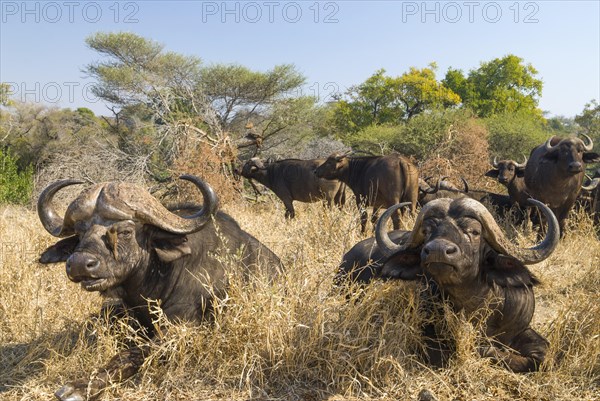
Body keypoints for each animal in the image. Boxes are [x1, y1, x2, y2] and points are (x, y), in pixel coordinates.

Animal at [37, 175, 282, 400]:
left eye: (125, 231)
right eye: (79, 234)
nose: (79, 264)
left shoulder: (180, 328)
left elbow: (131, 353)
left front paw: (80, 387)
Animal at [340, 197, 560, 372]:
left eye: (474, 231)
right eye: (427, 230)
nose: (437, 250)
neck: (474, 306)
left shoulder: (521, 327)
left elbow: (544, 355)